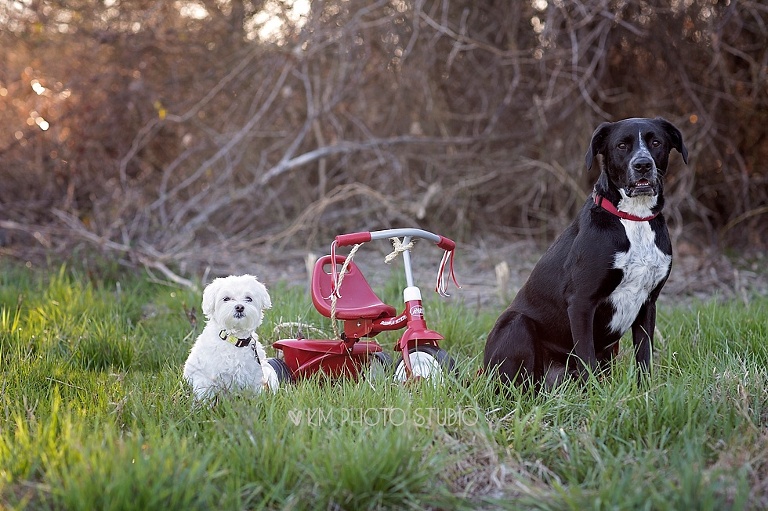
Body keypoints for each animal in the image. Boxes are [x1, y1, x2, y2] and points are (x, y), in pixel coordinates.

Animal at [183, 274, 280, 402]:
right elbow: (205, 396)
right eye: (226, 299)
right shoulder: (207, 378)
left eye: (249, 298)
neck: (234, 340)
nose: (239, 307)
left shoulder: (254, 376)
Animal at [484, 117, 688, 388]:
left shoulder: (648, 303)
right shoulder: (581, 302)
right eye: (621, 145)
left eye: (656, 142)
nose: (643, 164)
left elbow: (644, 357)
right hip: (516, 324)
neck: (633, 217)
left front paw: (645, 391)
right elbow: (586, 358)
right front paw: (595, 396)